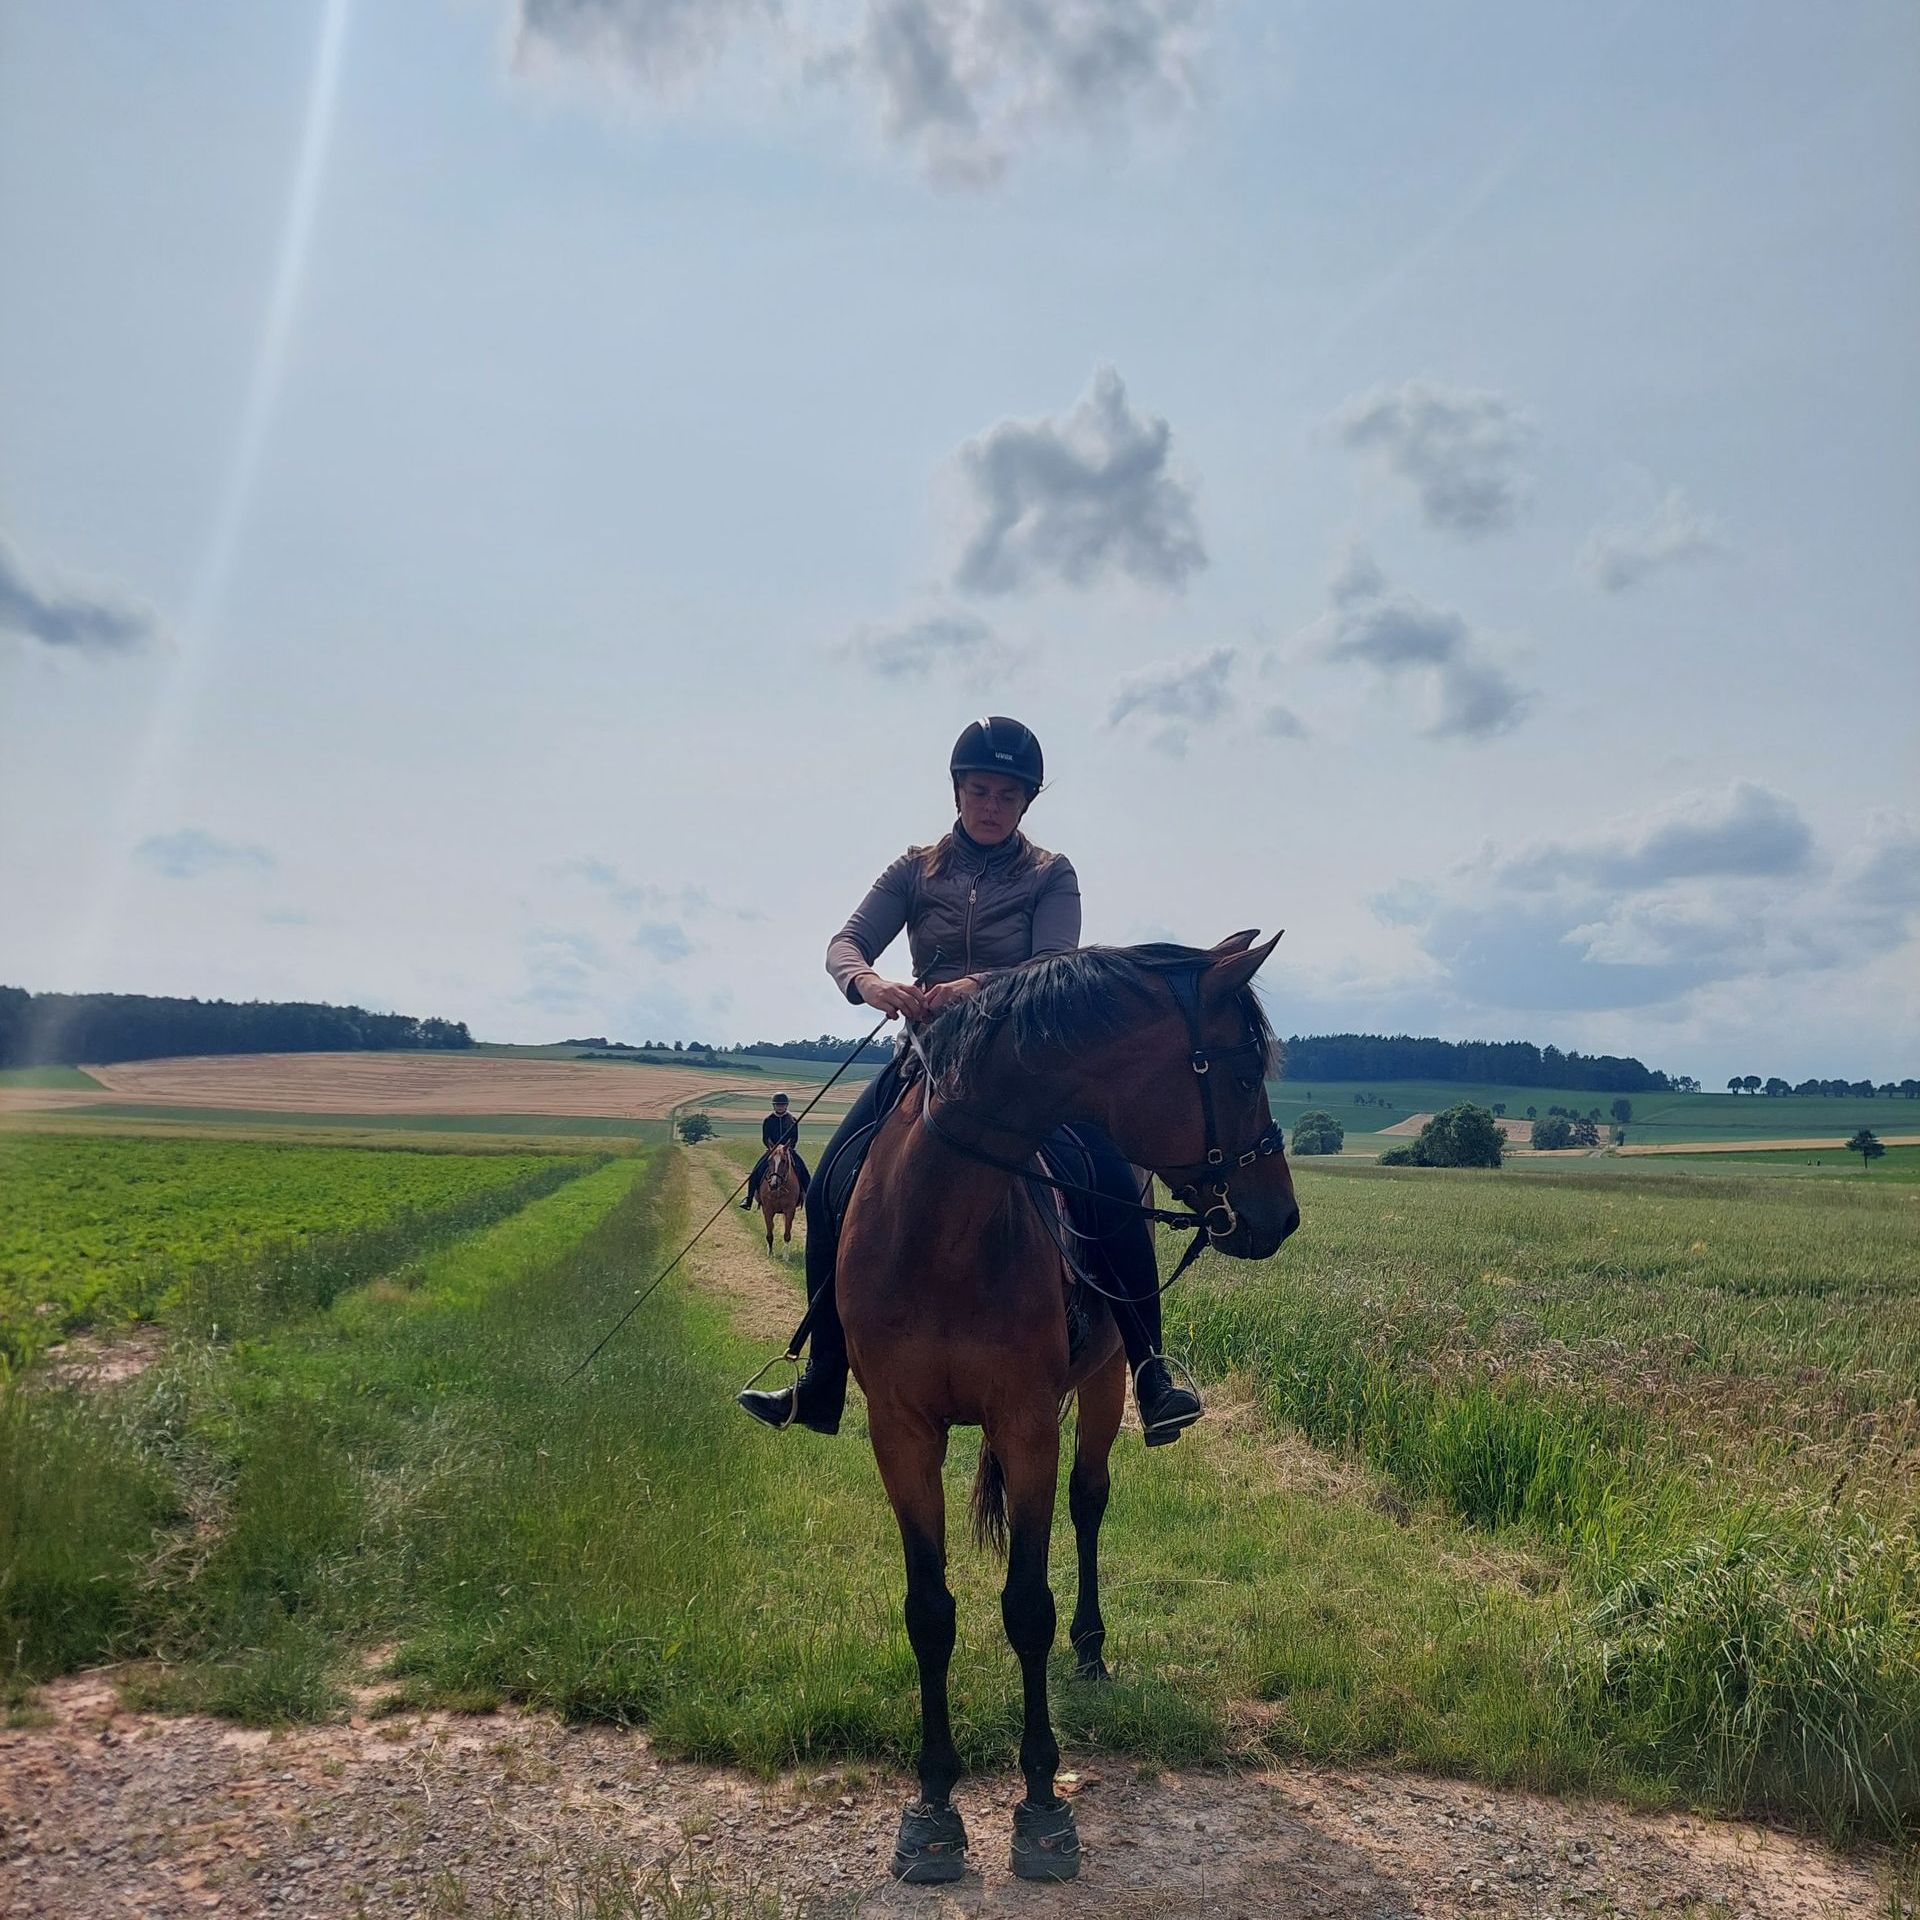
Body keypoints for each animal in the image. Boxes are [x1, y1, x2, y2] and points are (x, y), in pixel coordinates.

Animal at [836, 931, 1300, 1883]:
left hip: (1105, 1382)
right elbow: (929, 1610)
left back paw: (1092, 1652)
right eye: (1242, 1073)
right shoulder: (900, 1432)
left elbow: (1028, 1607)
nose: (1281, 1215)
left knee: (1090, 1504)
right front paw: (932, 1807)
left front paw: (1043, 1804)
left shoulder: (1025, 1422)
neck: (941, 1222)